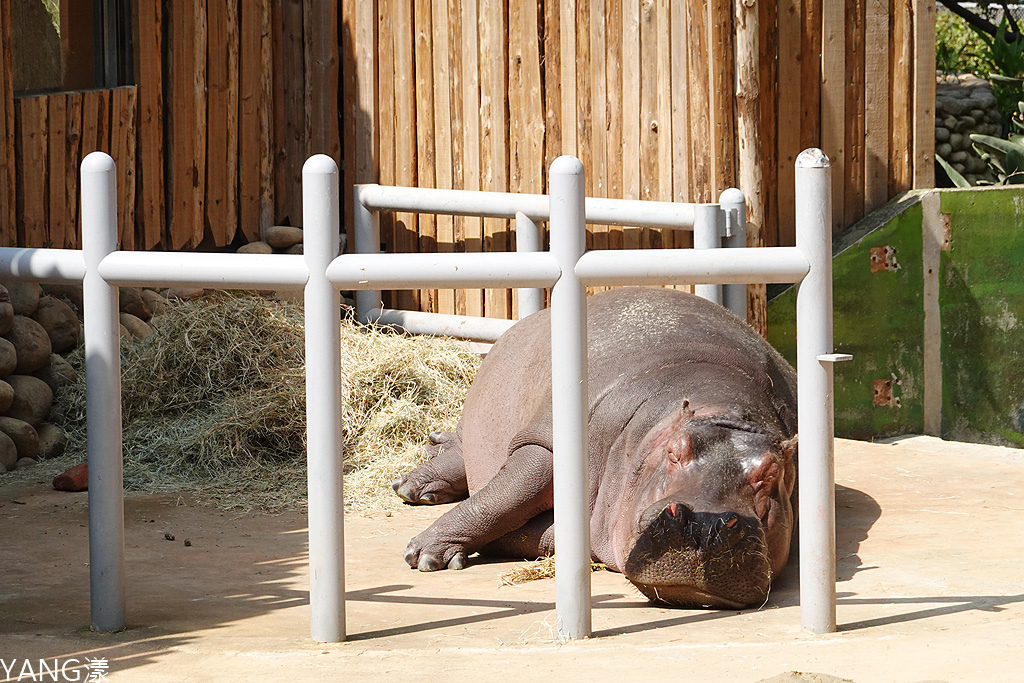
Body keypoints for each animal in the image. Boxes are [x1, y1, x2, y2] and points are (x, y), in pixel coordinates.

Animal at [391, 286, 798, 606]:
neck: (718, 404)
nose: (705, 524)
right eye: (674, 451)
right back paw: (412, 485)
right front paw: (422, 554)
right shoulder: (548, 444)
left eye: (773, 473)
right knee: (466, 456)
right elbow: (501, 496)